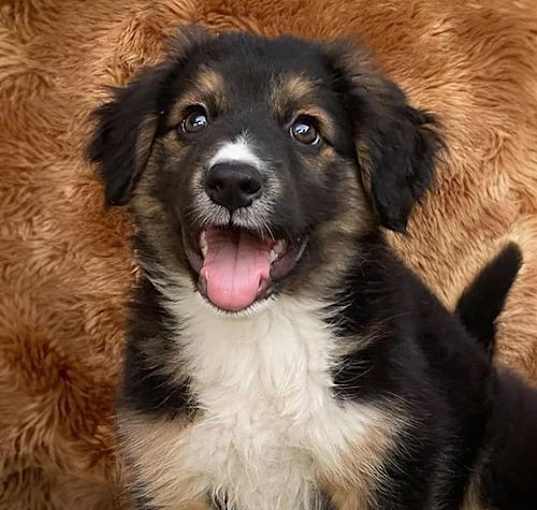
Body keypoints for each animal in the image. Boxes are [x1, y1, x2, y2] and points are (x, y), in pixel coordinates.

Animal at [88, 26, 532, 510]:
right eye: (194, 119)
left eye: (306, 130)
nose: (231, 182)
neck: (260, 340)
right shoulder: (169, 471)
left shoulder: (389, 465)